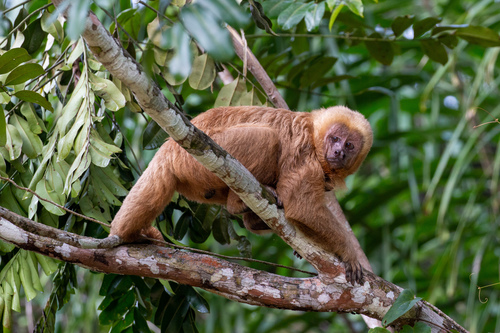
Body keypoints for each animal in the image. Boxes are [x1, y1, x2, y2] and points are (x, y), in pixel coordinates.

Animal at [111, 105, 374, 282]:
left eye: (349, 145)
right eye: (335, 138)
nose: (339, 152)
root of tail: (168, 149)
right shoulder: (304, 153)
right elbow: (301, 207)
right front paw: (348, 251)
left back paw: (252, 220)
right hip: (197, 157)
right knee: (267, 137)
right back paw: (239, 205)